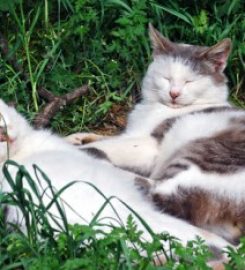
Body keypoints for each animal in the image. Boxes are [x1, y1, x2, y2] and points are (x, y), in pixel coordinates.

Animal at [67, 25, 245, 245]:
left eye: (189, 81)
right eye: (166, 78)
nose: (174, 93)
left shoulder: (150, 144)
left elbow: (112, 145)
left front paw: (78, 146)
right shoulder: (132, 132)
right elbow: (108, 138)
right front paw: (77, 137)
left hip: (201, 156)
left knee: (158, 192)